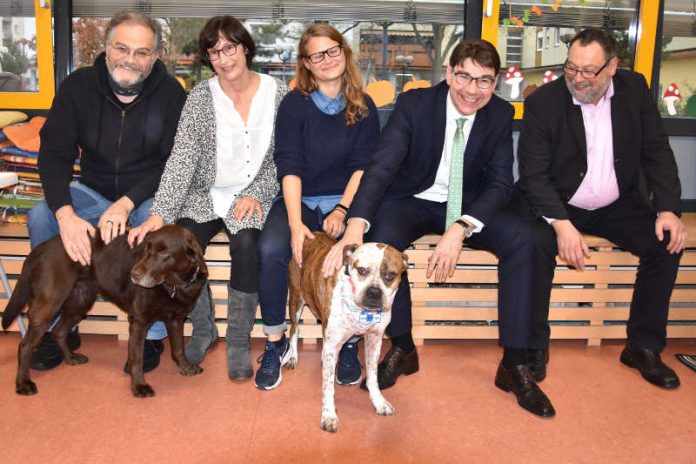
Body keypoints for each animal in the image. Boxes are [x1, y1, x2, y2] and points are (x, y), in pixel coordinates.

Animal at [2, 224, 207, 396]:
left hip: (80, 303)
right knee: (26, 345)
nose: (134, 275)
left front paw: (185, 367)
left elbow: (178, 348)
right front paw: (139, 386)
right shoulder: (138, 322)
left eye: (165, 253)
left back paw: (70, 358)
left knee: (58, 331)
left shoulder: (176, 319)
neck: (172, 286)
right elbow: (137, 358)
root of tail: (44, 246)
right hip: (50, 303)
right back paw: (23, 383)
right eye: (147, 249)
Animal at [286, 234, 408, 434]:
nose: (374, 292)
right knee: (294, 330)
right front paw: (328, 415)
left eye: (390, 275)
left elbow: (373, 377)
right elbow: (328, 386)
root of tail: (313, 234)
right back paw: (292, 357)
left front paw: (379, 402)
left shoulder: (374, 341)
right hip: (296, 300)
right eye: (362, 270)